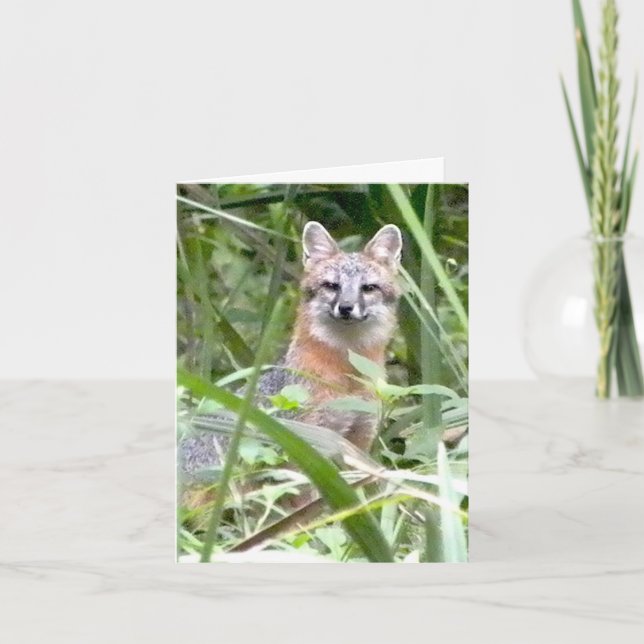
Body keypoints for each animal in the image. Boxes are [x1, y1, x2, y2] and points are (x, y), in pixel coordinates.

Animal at [179, 221, 403, 486]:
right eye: (331, 286)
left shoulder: (359, 441)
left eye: (368, 288)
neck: (348, 379)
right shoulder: (308, 443)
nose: (346, 307)